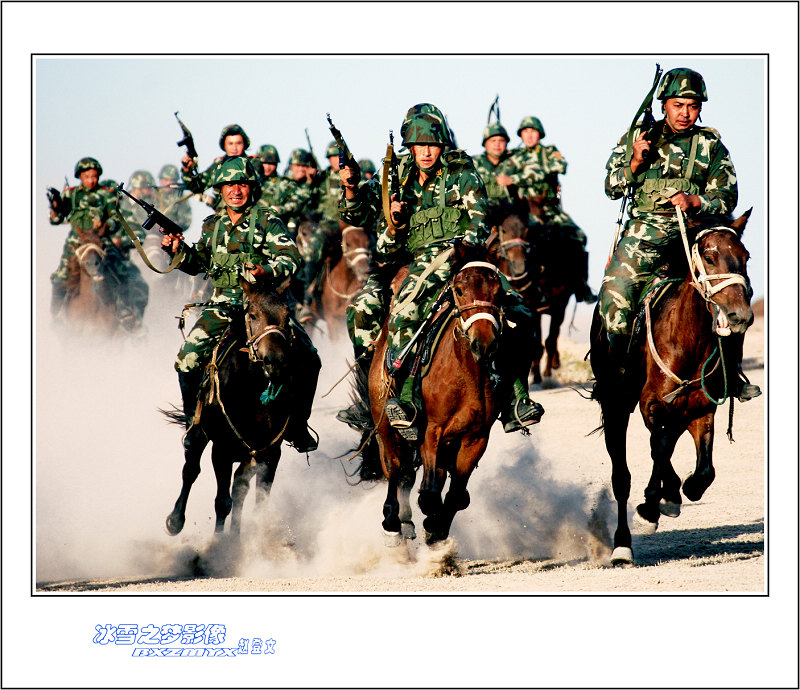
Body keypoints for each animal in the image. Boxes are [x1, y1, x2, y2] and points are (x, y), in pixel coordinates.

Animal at [165, 276, 294, 536]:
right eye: (252, 314)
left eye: (287, 316)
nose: (276, 361)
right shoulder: (221, 450)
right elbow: (222, 501)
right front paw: (219, 542)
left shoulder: (270, 453)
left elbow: (258, 501)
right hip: (198, 430)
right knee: (191, 466)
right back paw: (175, 520)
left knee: (240, 487)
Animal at [366, 241, 504, 544]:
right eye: (459, 289)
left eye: (498, 290)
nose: (484, 344)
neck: (465, 374)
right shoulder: (431, 431)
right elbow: (429, 495)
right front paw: (429, 524)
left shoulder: (475, 439)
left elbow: (455, 496)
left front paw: (438, 532)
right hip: (385, 421)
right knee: (396, 467)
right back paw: (394, 520)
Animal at [588, 210, 756, 564]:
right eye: (709, 257)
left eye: (745, 257)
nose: (740, 316)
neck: (688, 340)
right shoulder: (651, 406)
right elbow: (659, 450)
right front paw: (653, 506)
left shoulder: (702, 408)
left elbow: (703, 470)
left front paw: (679, 491)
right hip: (615, 406)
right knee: (622, 476)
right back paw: (622, 543)